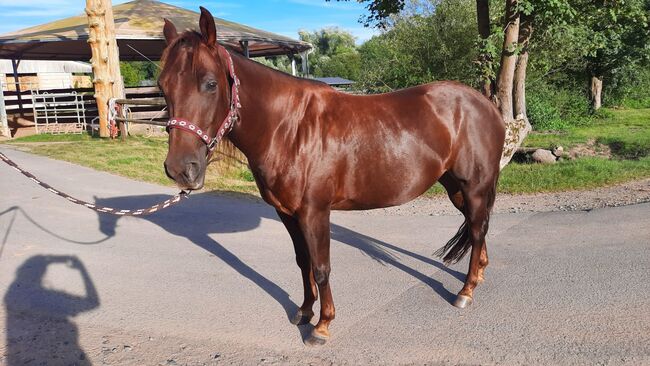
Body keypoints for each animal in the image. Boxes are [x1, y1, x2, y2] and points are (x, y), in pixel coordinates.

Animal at [159, 8, 504, 346]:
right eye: (163, 86)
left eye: (210, 83)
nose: (180, 168)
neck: (288, 128)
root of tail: (487, 105)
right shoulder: (287, 213)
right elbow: (303, 262)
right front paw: (304, 311)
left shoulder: (315, 211)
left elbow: (321, 266)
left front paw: (322, 326)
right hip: (455, 187)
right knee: (477, 226)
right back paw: (478, 276)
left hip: (473, 187)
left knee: (477, 230)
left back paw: (466, 291)